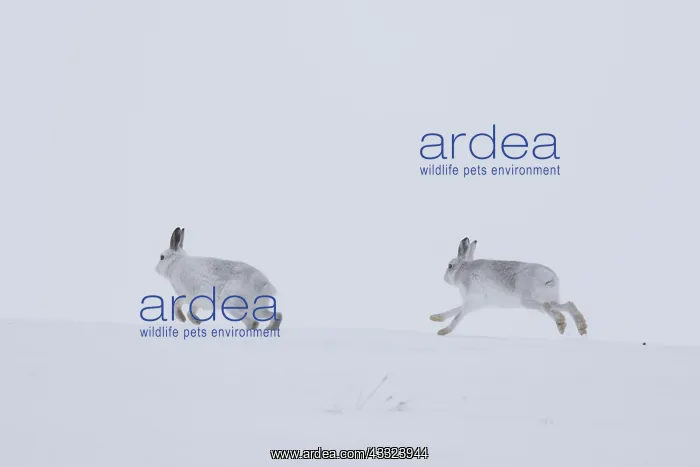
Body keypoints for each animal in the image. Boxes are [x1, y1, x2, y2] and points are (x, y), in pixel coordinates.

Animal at [430, 236, 586, 337]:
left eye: (450, 266)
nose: (444, 278)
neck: (463, 269)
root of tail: (550, 277)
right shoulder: (475, 303)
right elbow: (455, 310)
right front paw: (435, 318)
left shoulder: (472, 300)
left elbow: (458, 316)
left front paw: (443, 332)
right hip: (549, 298)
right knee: (567, 305)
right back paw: (581, 327)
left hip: (528, 300)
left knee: (548, 308)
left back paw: (561, 323)